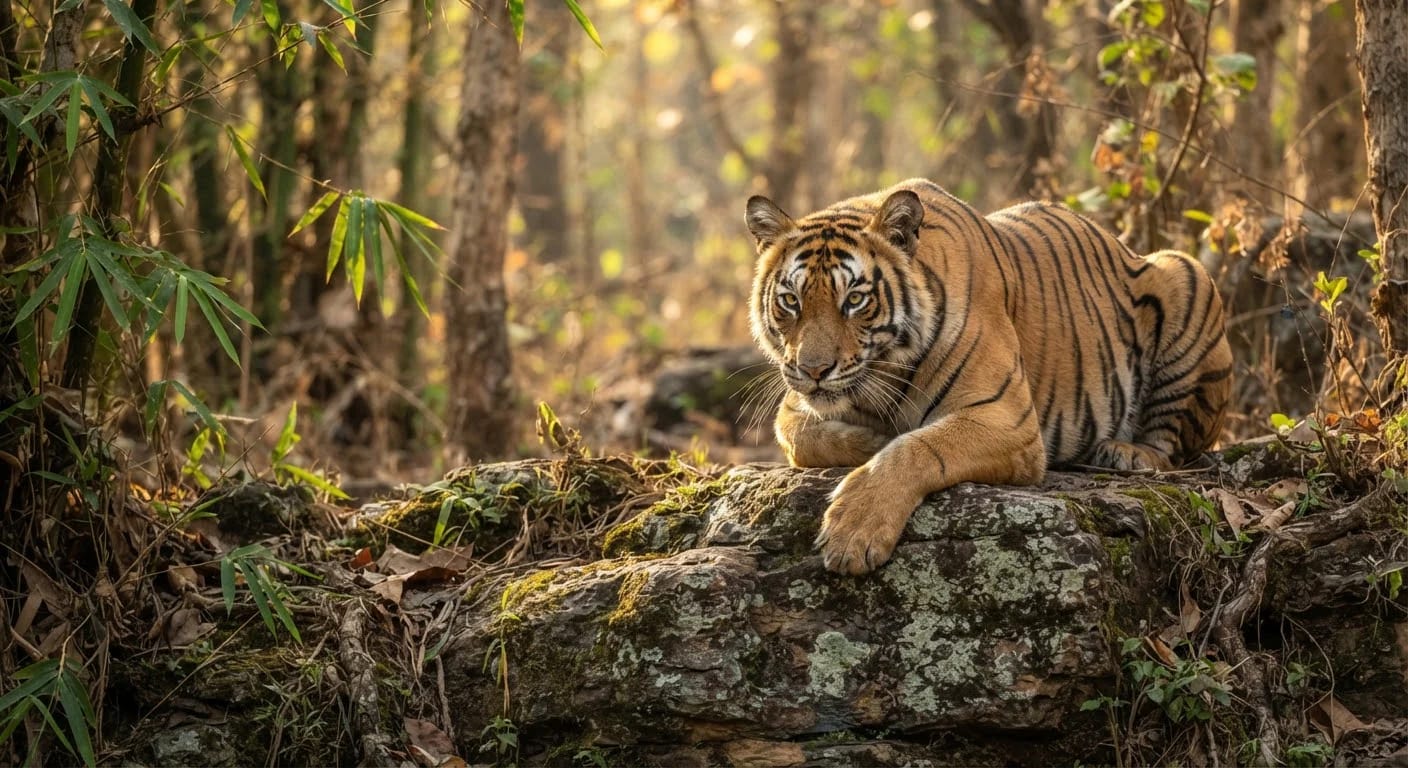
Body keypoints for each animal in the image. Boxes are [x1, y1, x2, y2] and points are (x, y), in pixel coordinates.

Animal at [746, 178, 1232, 575]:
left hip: (1185, 272)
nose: (814, 370)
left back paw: (1125, 453)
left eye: (855, 300)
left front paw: (854, 531)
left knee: (1172, 449)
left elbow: (917, 449)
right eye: (790, 301)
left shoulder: (1007, 418)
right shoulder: (795, 406)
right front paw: (872, 439)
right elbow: (805, 439)